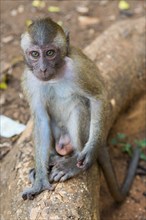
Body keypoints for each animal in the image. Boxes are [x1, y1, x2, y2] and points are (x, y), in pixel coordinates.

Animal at [20, 17, 140, 201]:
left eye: (50, 53)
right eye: (34, 54)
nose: (42, 68)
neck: (55, 76)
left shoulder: (78, 69)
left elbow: (98, 97)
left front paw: (90, 151)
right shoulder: (29, 79)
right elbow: (40, 119)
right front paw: (40, 180)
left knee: (79, 107)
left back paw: (73, 162)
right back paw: (51, 159)